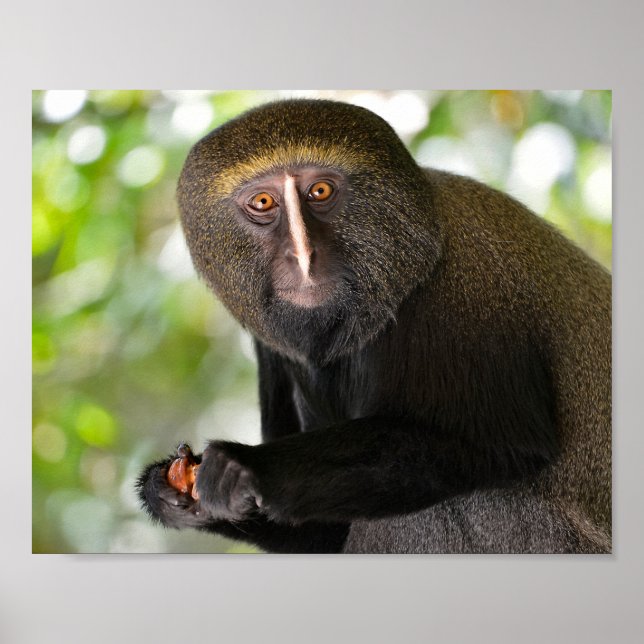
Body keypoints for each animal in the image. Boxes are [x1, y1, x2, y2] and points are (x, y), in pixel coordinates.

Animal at [137, 99, 611, 554]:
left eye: (320, 191)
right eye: (263, 203)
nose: (304, 255)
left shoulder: (469, 287)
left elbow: (499, 444)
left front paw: (251, 467)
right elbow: (322, 533)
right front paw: (167, 491)